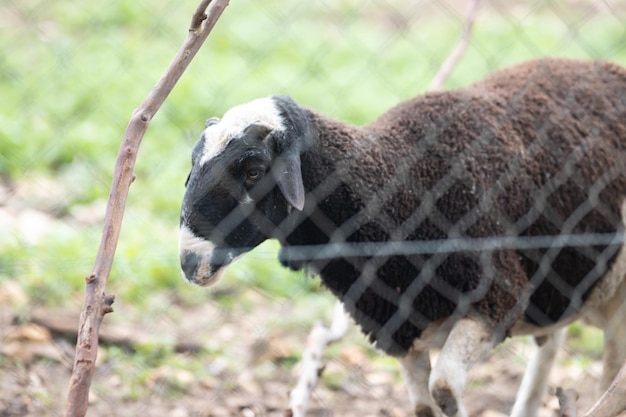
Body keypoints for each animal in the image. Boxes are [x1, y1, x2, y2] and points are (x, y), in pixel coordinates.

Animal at [177, 57, 624, 416]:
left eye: (253, 170)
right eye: (193, 165)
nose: (188, 261)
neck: (398, 183)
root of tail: (605, 67)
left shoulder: (497, 297)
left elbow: (444, 390)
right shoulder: (399, 327)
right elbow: (425, 406)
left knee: (611, 375)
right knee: (552, 344)